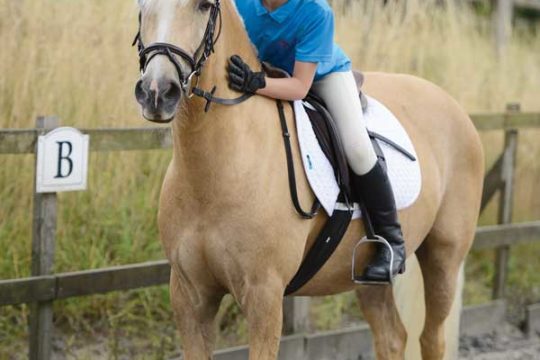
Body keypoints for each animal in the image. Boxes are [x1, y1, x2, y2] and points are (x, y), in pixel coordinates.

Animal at [134, 1, 486, 358]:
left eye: (204, 6)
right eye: (141, 6)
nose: (157, 92)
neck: (216, 176)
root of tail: (450, 102)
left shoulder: (264, 296)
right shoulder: (189, 296)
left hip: (443, 255)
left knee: (431, 337)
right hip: (366, 276)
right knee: (393, 336)